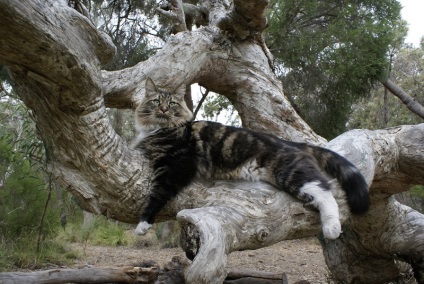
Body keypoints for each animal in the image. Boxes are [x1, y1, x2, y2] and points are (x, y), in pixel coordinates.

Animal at [131, 77, 370, 240]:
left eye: (171, 104)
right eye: (156, 101)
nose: (163, 109)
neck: (162, 129)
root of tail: (288, 142)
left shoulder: (177, 166)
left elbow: (157, 193)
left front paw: (143, 224)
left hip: (291, 173)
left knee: (325, 192)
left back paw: (331, 228)